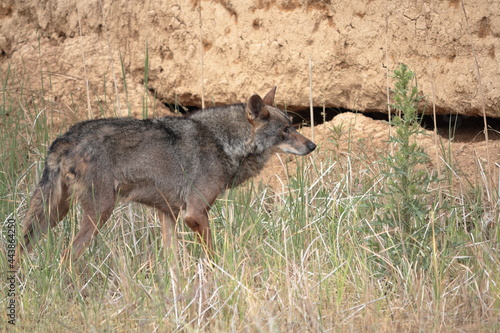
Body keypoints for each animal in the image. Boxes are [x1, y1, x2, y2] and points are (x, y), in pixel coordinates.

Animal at [15, 86, 316, 264]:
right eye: (285, 130)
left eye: (292, 125)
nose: (313, 145)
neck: (224, 142)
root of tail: (66, 138)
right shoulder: (194, 213)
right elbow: (212, 254)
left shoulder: (168, 214)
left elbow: (172, 261)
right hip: (98, 213)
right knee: (67, 257)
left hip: (55, 213)